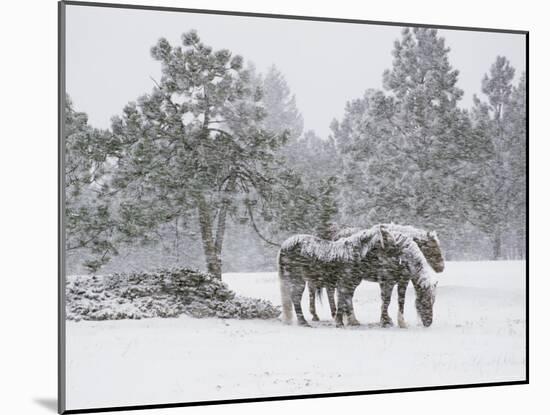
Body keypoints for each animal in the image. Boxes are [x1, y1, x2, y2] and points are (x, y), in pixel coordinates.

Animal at [282, 226, 438, 330]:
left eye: (433, 302)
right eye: (424, 302)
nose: (429, 322)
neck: (402, 255)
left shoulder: (401, 281)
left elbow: (399, 301)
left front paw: (397, 321)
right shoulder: (387, 280)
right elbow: (386, 300)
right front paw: (386, 321)